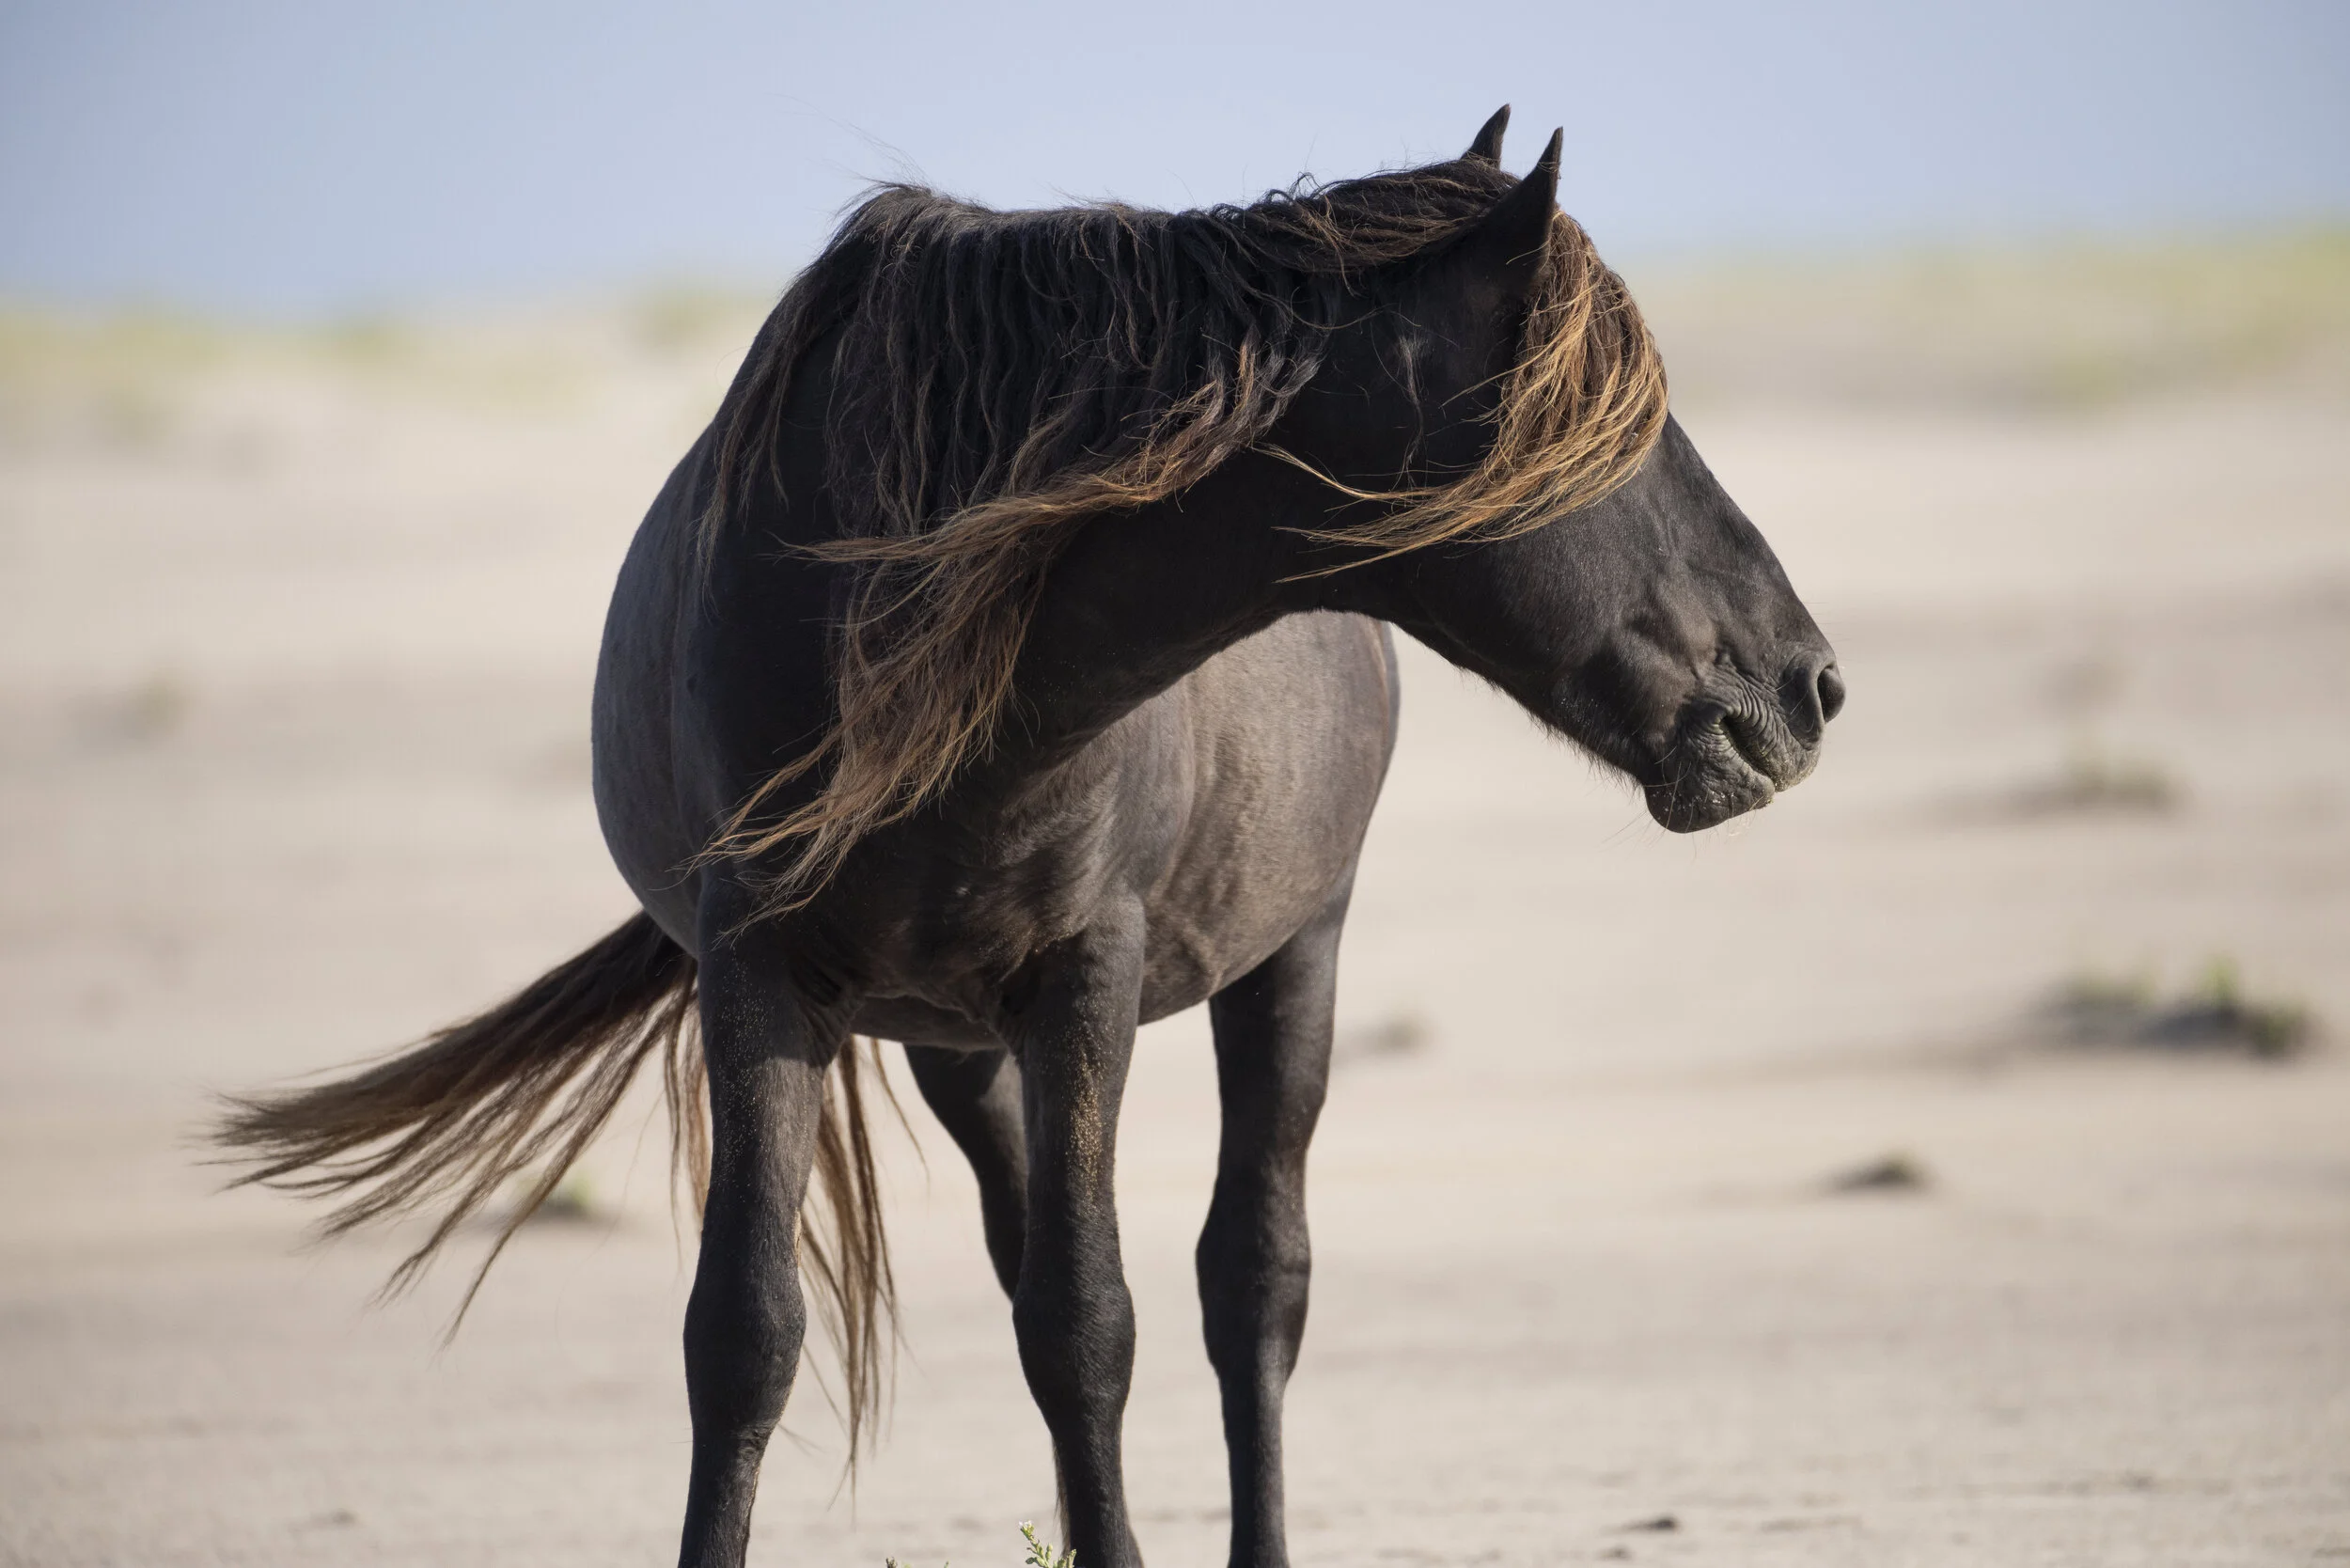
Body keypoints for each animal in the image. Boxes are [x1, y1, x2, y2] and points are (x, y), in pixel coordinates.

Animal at [219, 107, 1842, 1568]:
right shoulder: (760, 975)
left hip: (1293, 956)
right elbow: (749, 1333)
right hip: (955, 1042)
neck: (894, 613)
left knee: (1253, 1284)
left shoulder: (1087, 973)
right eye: (1627, 424)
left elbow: (1092, 1322)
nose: (1808, 685)